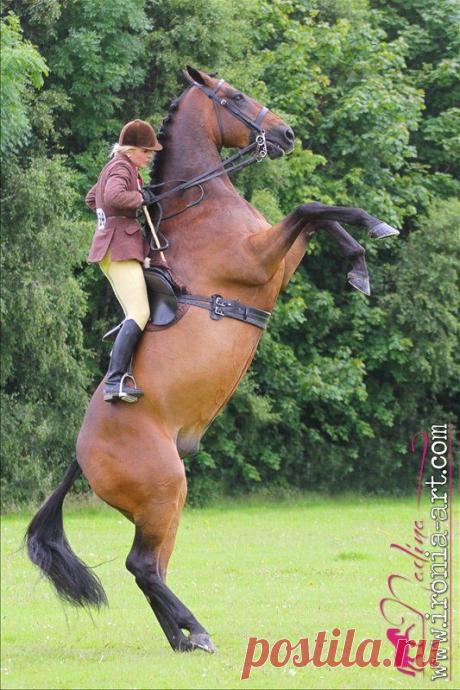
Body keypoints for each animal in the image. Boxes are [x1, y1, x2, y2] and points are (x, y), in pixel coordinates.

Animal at [26, 66, 399, 653]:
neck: (201, 202)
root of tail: (79, 456)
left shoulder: (278, 258)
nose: (287, 134)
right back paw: (195, 631)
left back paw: (182, 639)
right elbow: (310, 210)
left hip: (166, 504)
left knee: (151, 568)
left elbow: (317, 217)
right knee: (143, 565)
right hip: (164, 490)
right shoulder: (259, 258)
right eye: (237, 96)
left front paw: (358, 265)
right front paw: (376, 229)